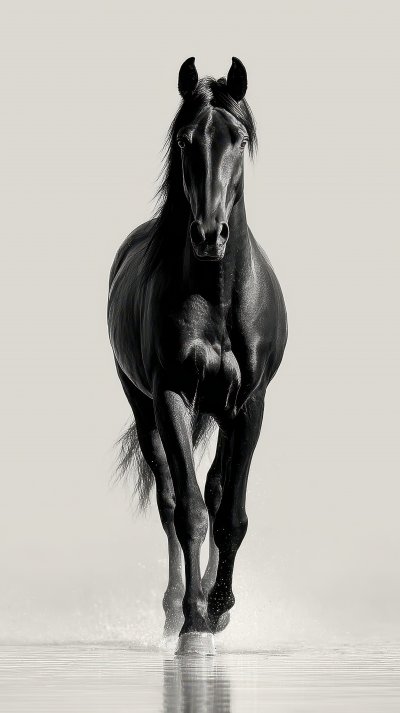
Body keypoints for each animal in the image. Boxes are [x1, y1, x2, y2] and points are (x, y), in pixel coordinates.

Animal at [107, 57, 287, 655]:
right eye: (186, 140)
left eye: (239, 138)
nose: (209, 234)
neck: (217, 294)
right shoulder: (170, 395)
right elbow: (188, 510)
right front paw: (193, 624)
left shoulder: (249, 404)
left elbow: (229, 512)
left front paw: (220, 605)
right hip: (144, 405)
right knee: (169, 499)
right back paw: (174, 608)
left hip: (221, 411)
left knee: (216, 491)